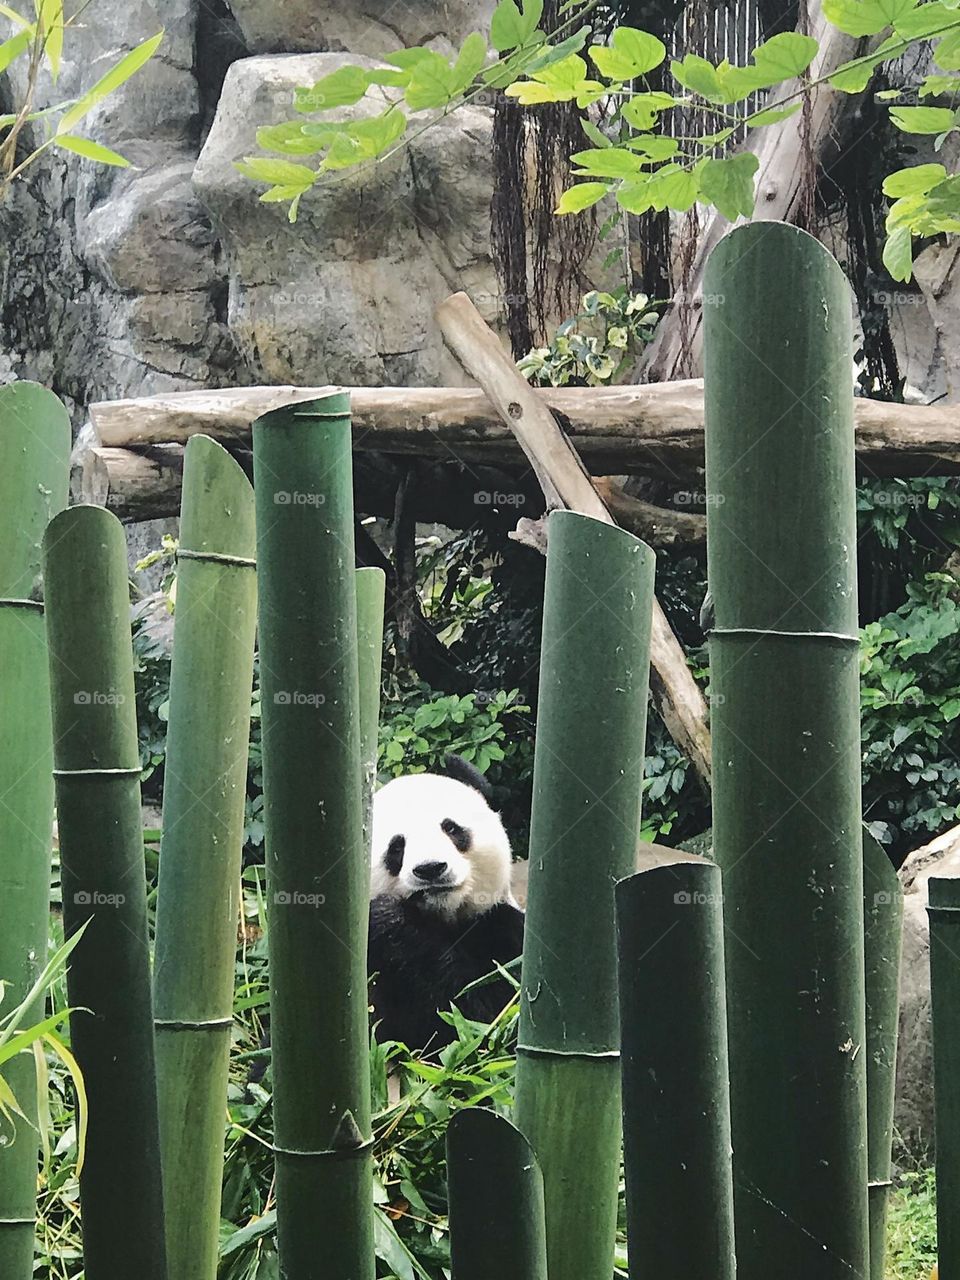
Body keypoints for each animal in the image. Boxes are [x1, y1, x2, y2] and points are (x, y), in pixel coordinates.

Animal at [368, 752, 527, 1054]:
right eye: (397, 847)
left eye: (451, 828)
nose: (430, 868)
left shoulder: (503, 930)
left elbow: (486, 1024)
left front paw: (387, 918)